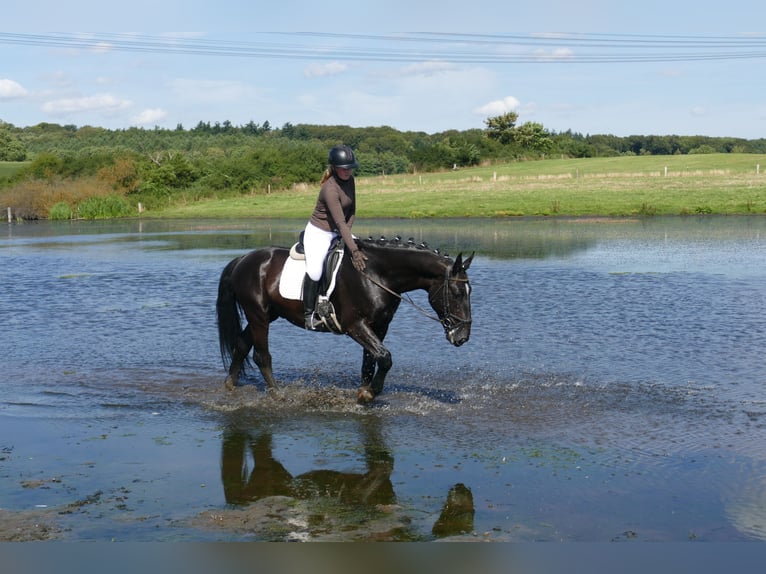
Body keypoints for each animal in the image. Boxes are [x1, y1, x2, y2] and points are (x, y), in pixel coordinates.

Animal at [216, 236, 474, 404]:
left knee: (242, 343)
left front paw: (364, 393)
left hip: (268, 314)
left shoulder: (379, 326)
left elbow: (370, 361)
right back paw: (278, 394)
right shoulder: (355, 326)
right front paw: (370, 393)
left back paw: (230, 384)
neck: (376, 274)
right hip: (258, 314)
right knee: (261, 355)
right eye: (457, 293)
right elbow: (385, 358)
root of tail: (243, 259)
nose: (462, 337)